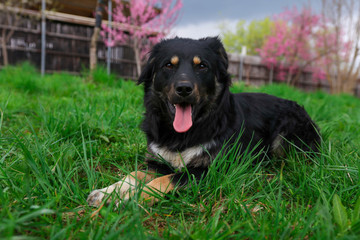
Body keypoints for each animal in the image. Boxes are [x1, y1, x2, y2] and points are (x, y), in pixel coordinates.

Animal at [87, 36, 320, 207]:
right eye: (168, 65)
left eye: (202, 66)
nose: (184, 89)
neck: (181, 134)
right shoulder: (158, 161)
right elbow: (134, 173)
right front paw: (108, 193)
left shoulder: (211, 170)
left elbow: (165, 180)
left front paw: (131, 199)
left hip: (286, 132)